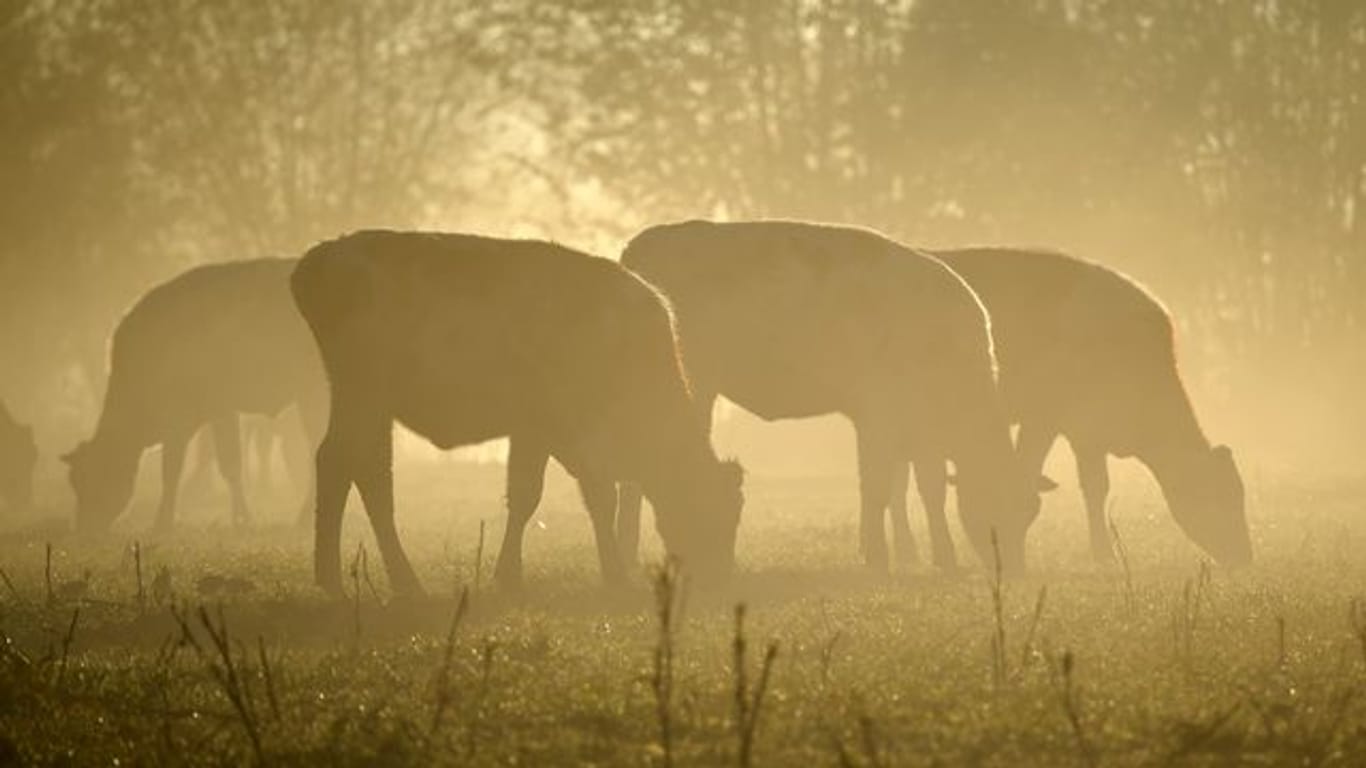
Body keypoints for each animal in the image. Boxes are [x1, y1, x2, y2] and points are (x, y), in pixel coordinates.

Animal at [62, 259, 327, 530]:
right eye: (74, 481)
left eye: (94, 476)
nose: (84, 527)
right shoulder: (215, 414)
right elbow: (225, 465)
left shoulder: (189, 419)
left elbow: (179, 468)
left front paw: (163, 523)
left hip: (311, 397)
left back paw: (303, 519)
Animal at [282, 229, 743, 595]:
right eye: (711, 509)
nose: (719, 578)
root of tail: (321, 257)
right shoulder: (550, 434)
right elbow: (561, 497)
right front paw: (609, 577)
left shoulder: (543, 437)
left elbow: (555, 499)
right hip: (364, 399)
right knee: (357, 471)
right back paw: (379, 582)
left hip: (367, 407)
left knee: (356, 470)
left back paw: (356, 580)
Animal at [617, 218, 1032, 571]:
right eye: (999, 498)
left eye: (1030, 510)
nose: (1015, 569)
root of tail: (642, 245)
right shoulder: (878, 418)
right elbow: (877, 486)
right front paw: (877, 557)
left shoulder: (920, 431)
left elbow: (928, 489)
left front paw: (942, 558)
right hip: (689, 388)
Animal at [907, 248, 1251, 565]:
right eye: (1218, 495)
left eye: (1239, 493)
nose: (1244, 556)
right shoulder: (1045, 419)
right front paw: (1104, 554)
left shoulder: (1088, 435)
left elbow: (1096, 486)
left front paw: (1103, 553)